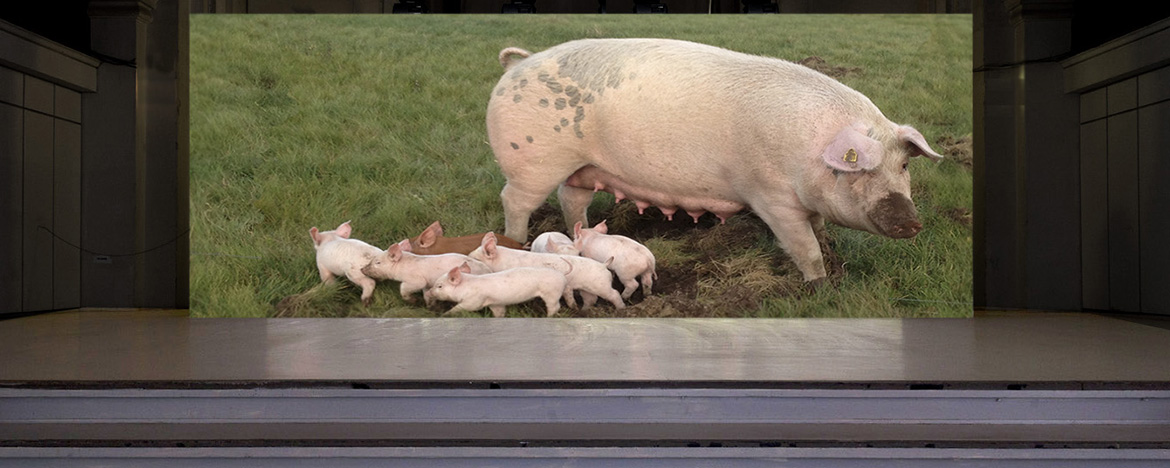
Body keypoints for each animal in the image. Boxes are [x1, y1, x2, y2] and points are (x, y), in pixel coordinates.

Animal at [489, 38, 945, 281]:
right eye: (859, 170)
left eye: (903, 166)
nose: (912, 223)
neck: (808, 156)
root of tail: (519, 64)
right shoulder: (770, 198)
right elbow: (805, 247)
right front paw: (820, 285)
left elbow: (818, 228)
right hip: (531, 163)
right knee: (515, 200)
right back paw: (516, 241)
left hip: (582, 168)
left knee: (572, 199)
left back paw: (576, 233)